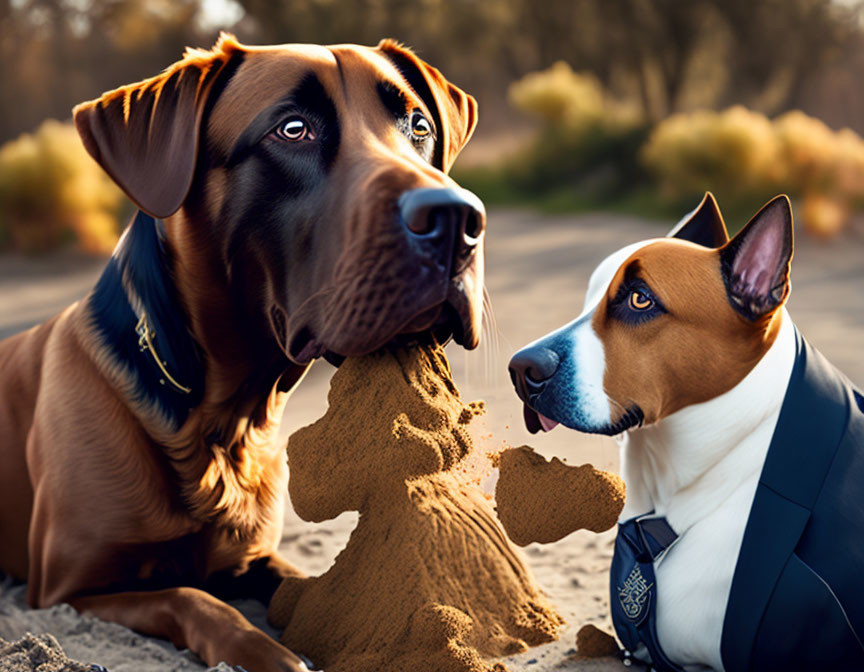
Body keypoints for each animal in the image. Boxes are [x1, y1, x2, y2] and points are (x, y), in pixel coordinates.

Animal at [0, 34, 482, 668]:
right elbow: (189, 597)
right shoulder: (69, 590)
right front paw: (267, 652)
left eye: (420, 125)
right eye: (293, 129)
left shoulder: (250, 558)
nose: (458, 219)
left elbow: (311, 586)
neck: (225, 419)